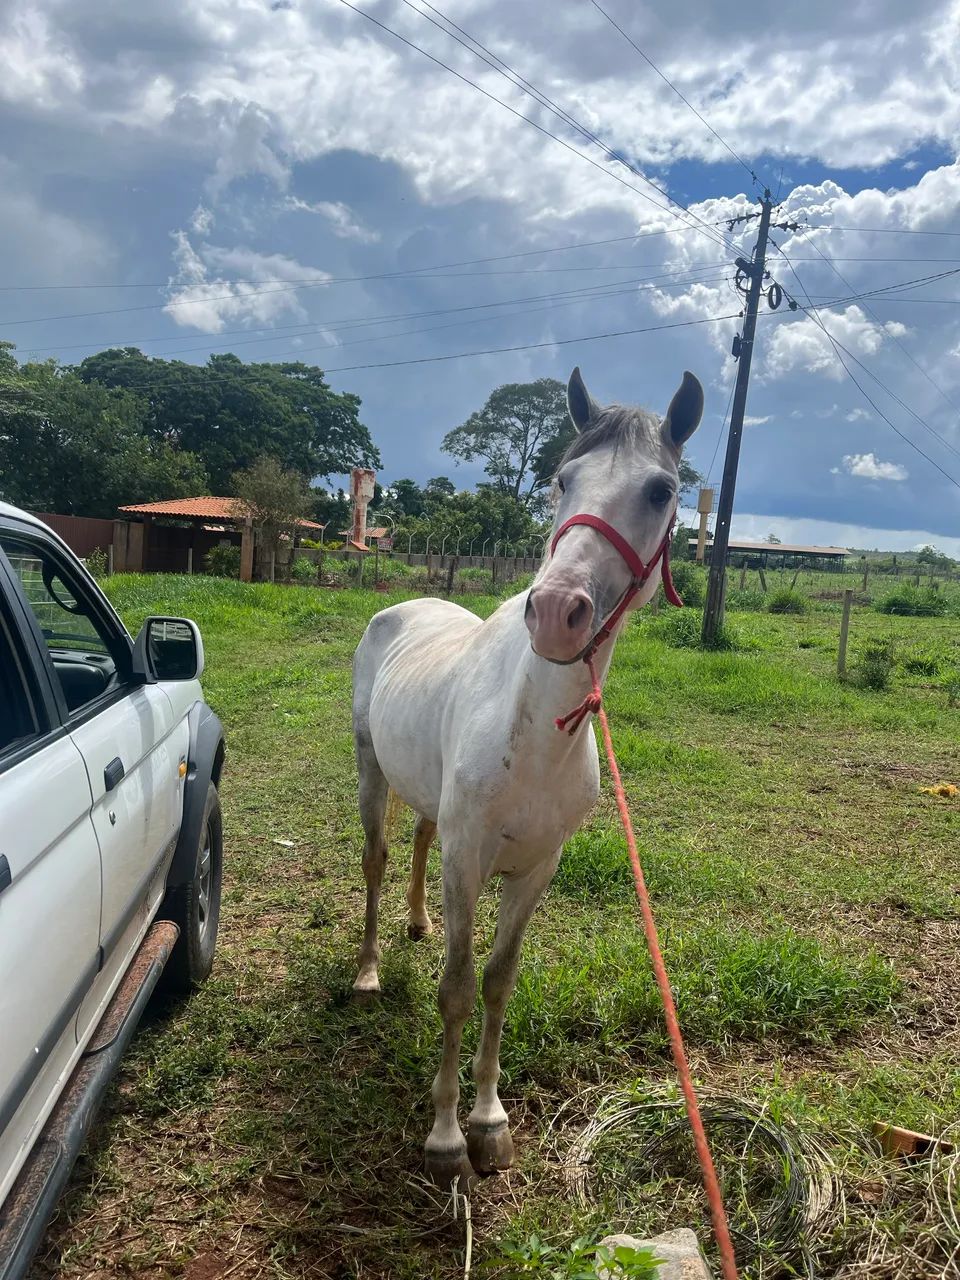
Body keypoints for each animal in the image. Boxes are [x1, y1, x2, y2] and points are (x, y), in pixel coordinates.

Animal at [350, 365, 703, 1187]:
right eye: (562, 478)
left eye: (661, 491)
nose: (555, 613)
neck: (535, 734)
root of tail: (404, 606)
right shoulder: (468, 859)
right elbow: (454, 990)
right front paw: (447, 1137)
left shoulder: (537, 868)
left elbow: (497, 983)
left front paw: (489, 1120)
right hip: (370, 771)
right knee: (378, 859)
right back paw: (372, 969)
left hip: (429, 802)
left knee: (419, 842)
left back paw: (416, 924)